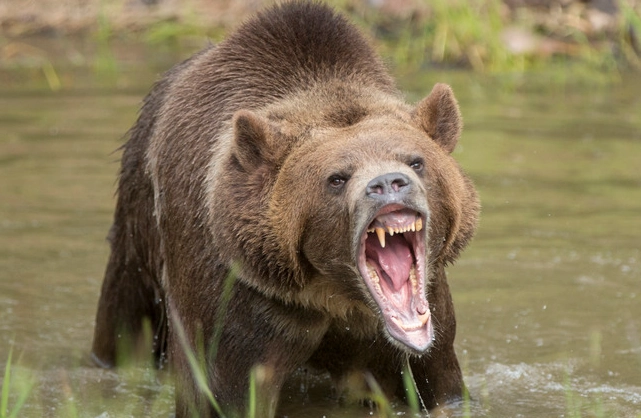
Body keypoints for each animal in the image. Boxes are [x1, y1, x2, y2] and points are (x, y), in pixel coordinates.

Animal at [90, 1, 480, 417]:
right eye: (337, 178)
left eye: (416, 161)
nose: (388, 182)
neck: (334, 292)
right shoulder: (242, 299)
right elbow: (224, 390)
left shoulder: (422, 317)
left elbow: (437, 381)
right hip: (139, 224)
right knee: (125, 316)